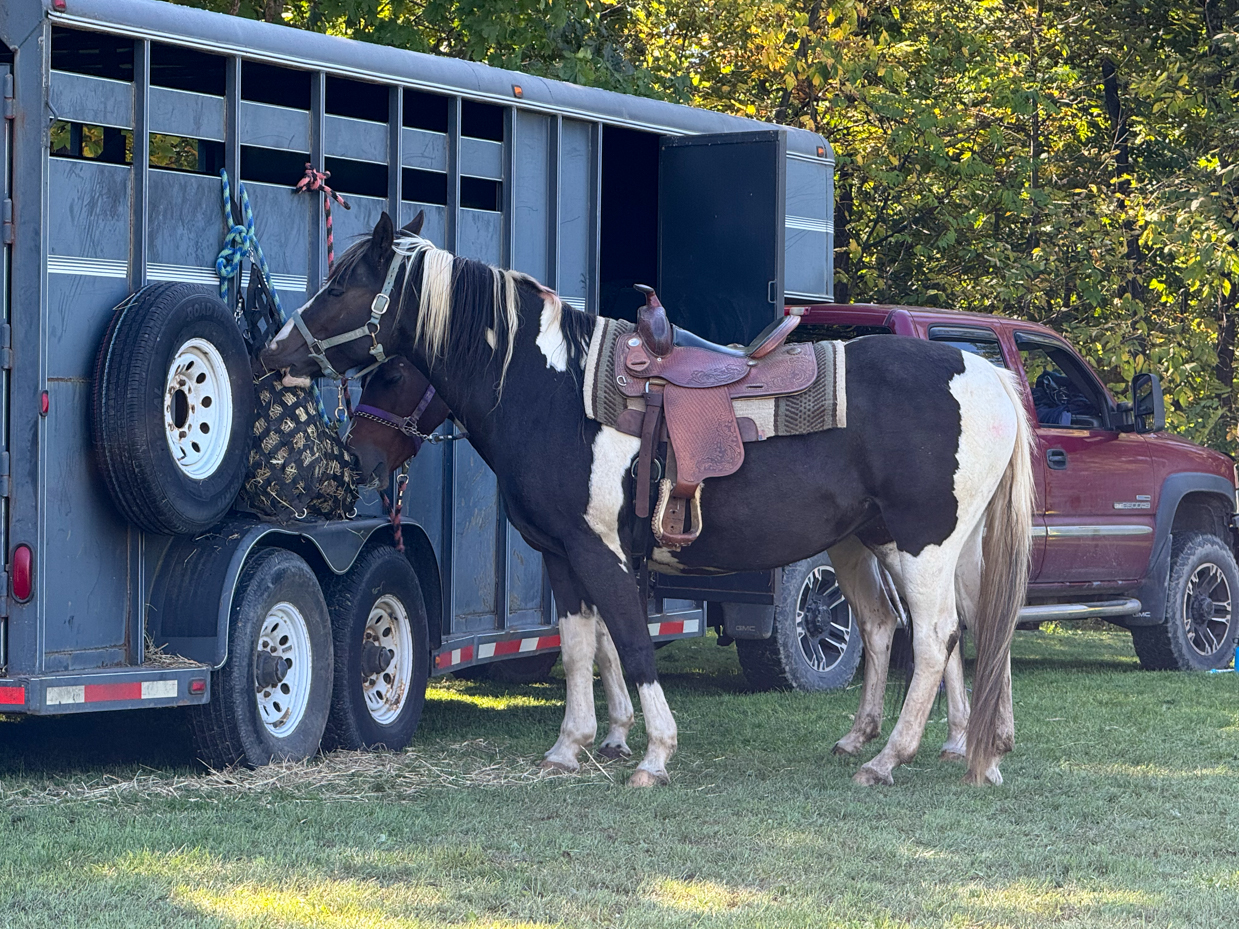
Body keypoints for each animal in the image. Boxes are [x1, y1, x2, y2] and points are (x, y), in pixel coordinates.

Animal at [261, 210, 1035, 787]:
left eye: (339, 286)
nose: (274, 352)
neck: (553, 392)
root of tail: (987, 376)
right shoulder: (564, 556)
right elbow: (582, 645)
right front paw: (575, 744)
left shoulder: (600, 549)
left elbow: (631, 644)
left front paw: (654, 752)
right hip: (883, 544)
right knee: (909, 628)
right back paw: (948, 745)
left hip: (923, 546)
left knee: (933, 639)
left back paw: (890, 758)